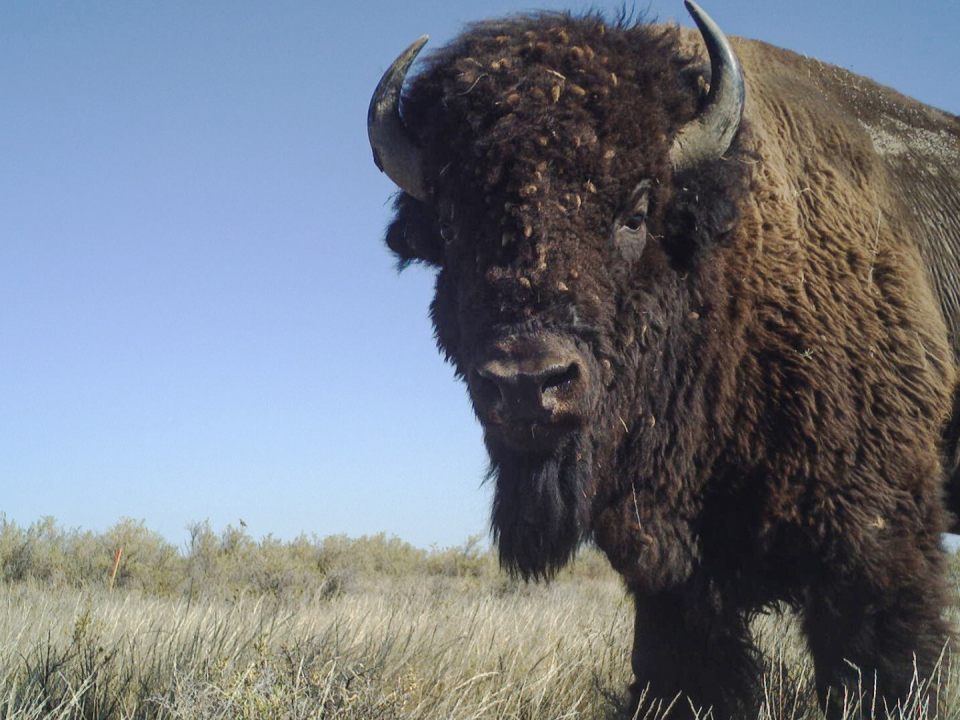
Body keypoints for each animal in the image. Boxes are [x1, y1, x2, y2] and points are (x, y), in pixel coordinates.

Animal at [366, 2, 960, 716]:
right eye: (452, 227)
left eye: (635, 213)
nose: (529, 384)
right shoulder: (674, 572)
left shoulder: (875, 533)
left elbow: (881, 663)